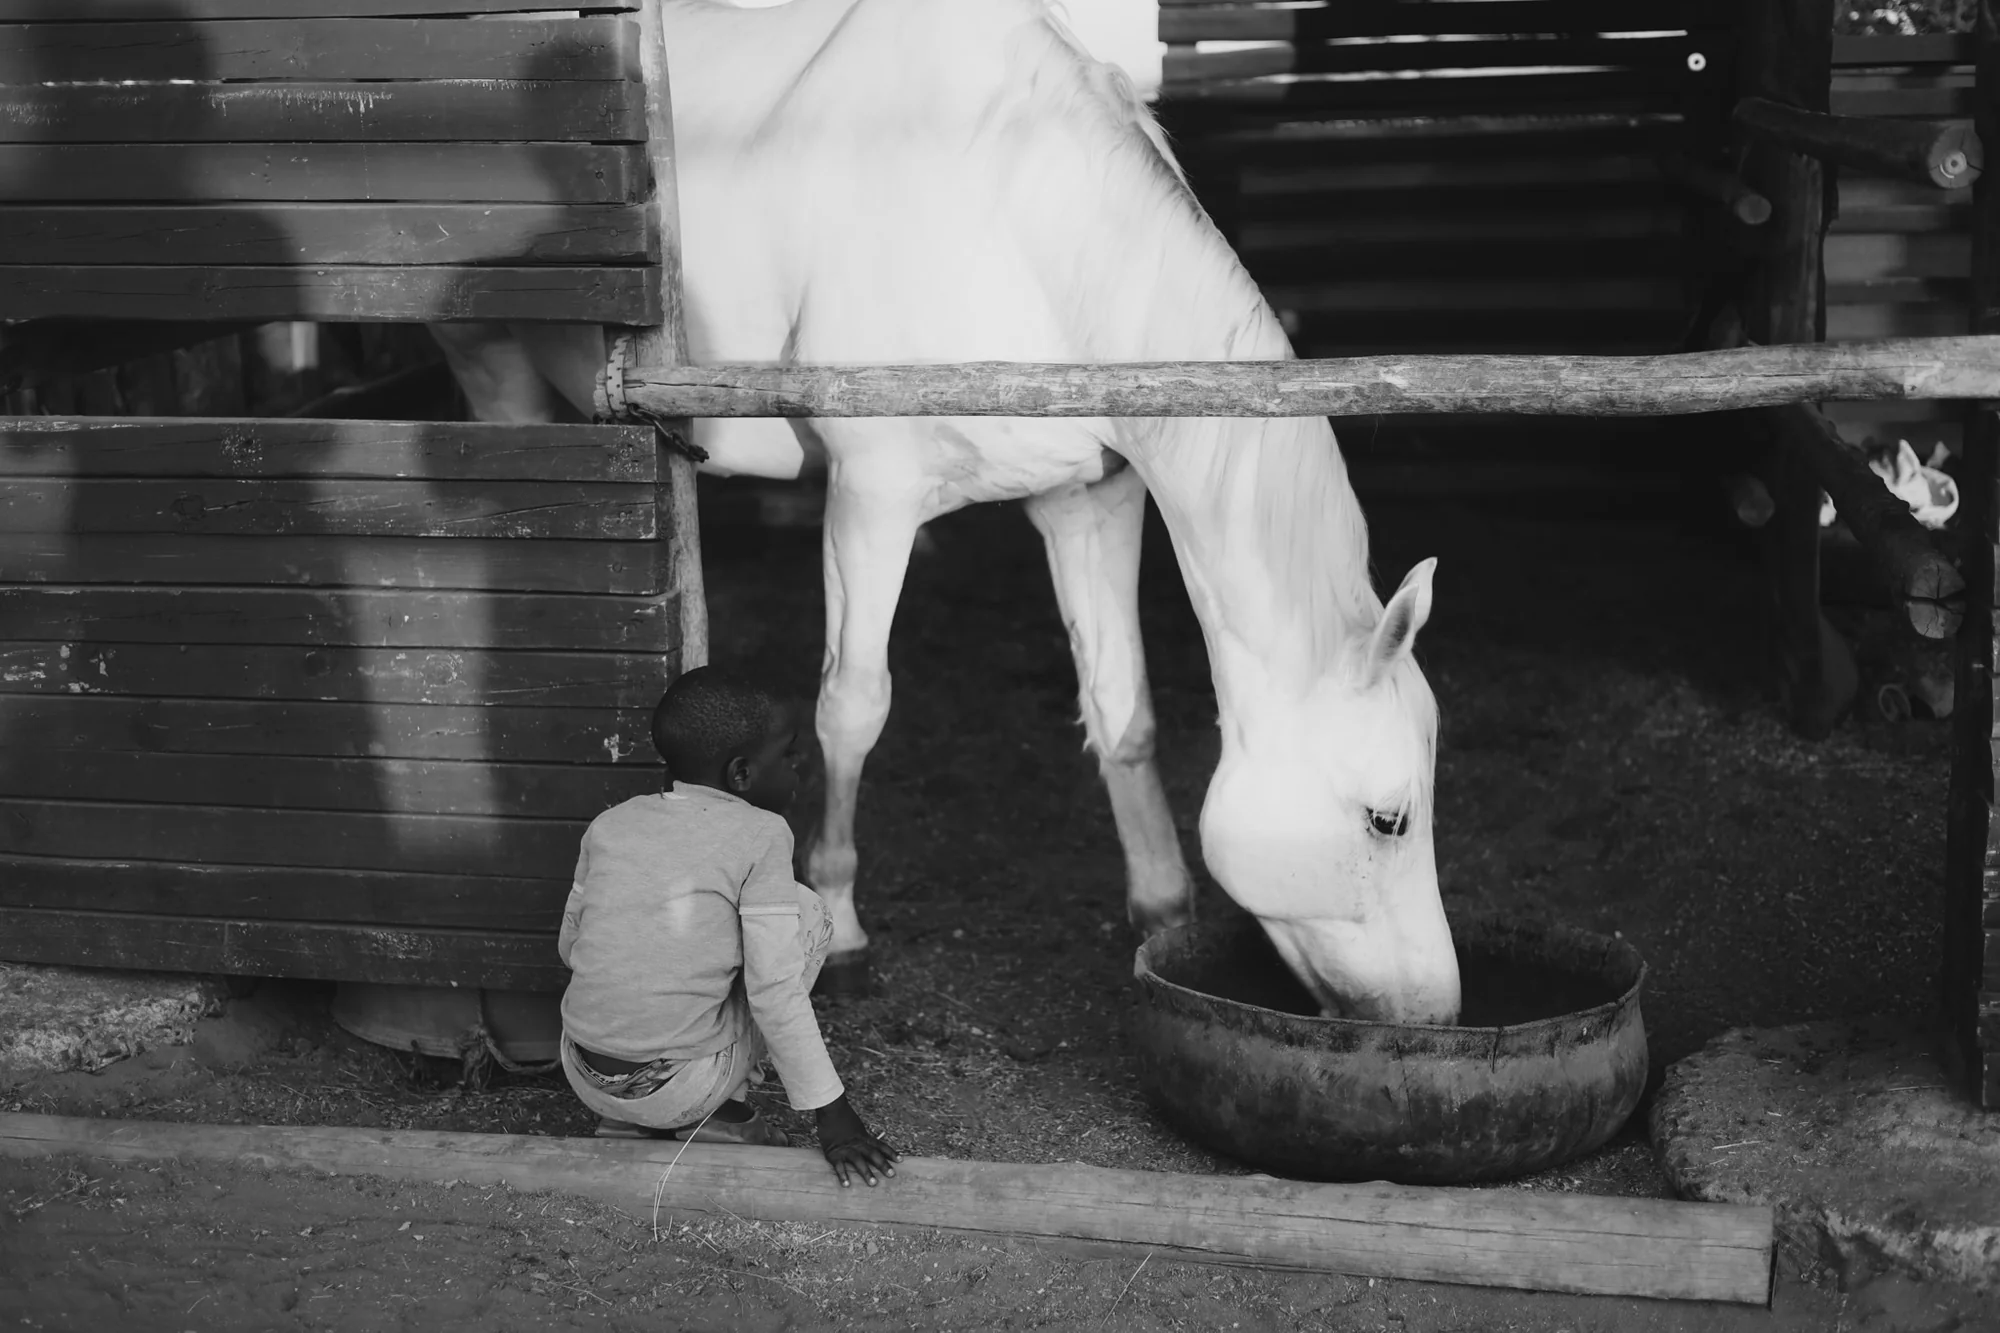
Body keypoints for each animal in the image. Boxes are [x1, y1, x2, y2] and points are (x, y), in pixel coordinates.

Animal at [429, 0, 1459, 1024]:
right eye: (1389, 818)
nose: (1436, 1013)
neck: (1015, 221)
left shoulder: (1090, 501)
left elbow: (1121, 709)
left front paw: (1163, 907)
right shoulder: (871, 499)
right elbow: (853, 709)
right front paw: (843, 932)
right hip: (490, 361)